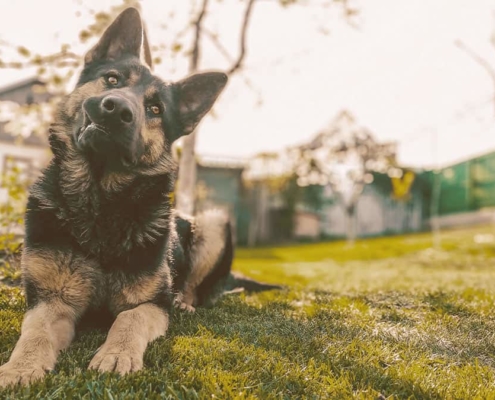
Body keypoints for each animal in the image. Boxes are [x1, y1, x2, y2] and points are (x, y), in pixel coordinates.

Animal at [0, 7, 250, 388]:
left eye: (156, 109)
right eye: (112, 79)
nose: (116, 109)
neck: (100, 205)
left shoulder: (149, 305)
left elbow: (128, 320)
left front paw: (117, 353)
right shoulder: (52, 301)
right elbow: (35, 333)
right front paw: (21, 366)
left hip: (214, 222)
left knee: (195, 287)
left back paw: (184, 301)